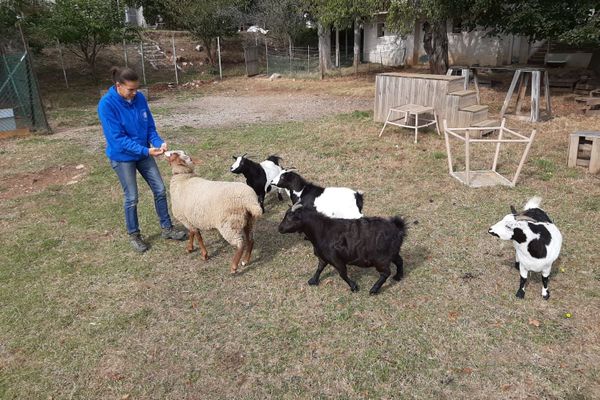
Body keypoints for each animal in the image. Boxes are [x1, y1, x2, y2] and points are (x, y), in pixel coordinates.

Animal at [278, 203, 406, 294]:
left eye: (290, 217)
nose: (280, 228)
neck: (323, 231)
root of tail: (397, 228)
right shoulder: (323, 257)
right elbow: (319, 268)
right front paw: (313, 280)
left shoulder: (336, 259)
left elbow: (342, 274)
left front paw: (354, 287)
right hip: (393, 253)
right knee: (399, 261)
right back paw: (398, 276)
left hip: (380, 259)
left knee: (385, 273)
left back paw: (374, 289)